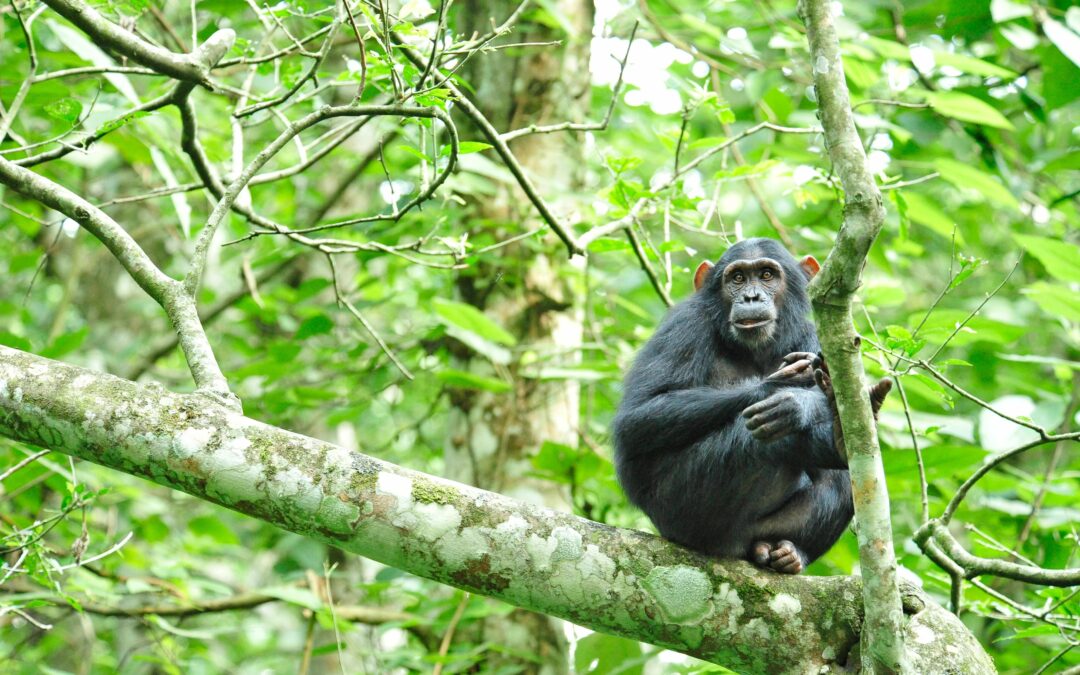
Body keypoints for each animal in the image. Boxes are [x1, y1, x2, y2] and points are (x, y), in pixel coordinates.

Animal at [613, 239, 889, 570]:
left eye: (767, 275)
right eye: (738, 278)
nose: (751, 296)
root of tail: (734, 548)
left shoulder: (813, 337)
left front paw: (804, 403)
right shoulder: (685, 323)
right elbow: (640, 415)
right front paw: (785, 391)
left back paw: (791, 551)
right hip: (684, 507)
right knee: (760, 441)